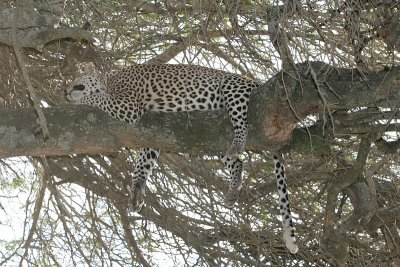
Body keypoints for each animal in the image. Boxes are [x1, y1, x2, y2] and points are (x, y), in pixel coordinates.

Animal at [65, 63, 296, 254]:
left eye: (76, 81)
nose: (65, 92)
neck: (110, 80)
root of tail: (256, 82)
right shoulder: (150, 137)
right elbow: (142, 166)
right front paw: (136, 192)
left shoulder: (128, 105)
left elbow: (96, 99)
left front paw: (78, 102)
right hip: (214, 137)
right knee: (238, 161)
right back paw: (232, 189)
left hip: (233, 88)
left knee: (241, 123)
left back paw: (238, 144)